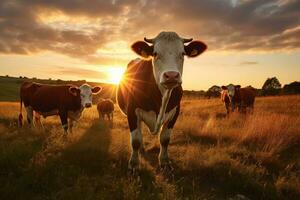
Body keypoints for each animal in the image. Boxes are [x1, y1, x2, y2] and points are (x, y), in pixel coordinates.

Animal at [116, 31, 206, 172]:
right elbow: (135, 140)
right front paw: (134, 164)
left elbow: (165, 139)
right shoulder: (131, 111)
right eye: (155, 53)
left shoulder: (175, 112)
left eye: (182, 53)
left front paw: (164, 162)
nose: (171, 75)